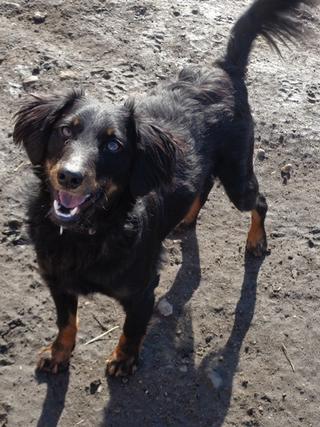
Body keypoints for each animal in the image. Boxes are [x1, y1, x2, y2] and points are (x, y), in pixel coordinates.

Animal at [13, 0, 314, 376]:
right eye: (66, 130)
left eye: (114, 145)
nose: (70, 176)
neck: (88, 232)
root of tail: (224, 68)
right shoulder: (57, 281)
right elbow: (66, 322)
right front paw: (58, 353)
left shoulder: (142, 291)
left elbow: (132, 330)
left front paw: (123, 360)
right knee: (204, 184)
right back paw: (186, 219)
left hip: (237, 179)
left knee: (260, 201)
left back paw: (256, 240)